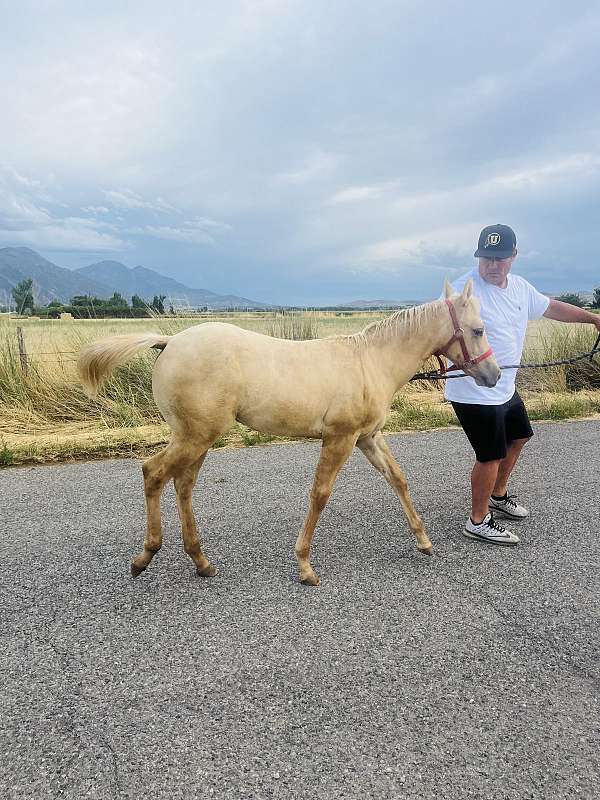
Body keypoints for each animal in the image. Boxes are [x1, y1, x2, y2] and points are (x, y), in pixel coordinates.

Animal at [81, 278, 502, 584]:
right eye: (478, 329)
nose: (495, 375)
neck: (369, 362)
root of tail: (169, 342)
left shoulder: (368, 437)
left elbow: (398, 479)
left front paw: (424, 540)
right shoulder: (340, 438)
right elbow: (320, 494)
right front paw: (304, 565)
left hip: (197, 438)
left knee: (183, 485)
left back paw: (201, 561)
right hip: (194, 437)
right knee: (153, 473)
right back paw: (145, 556)